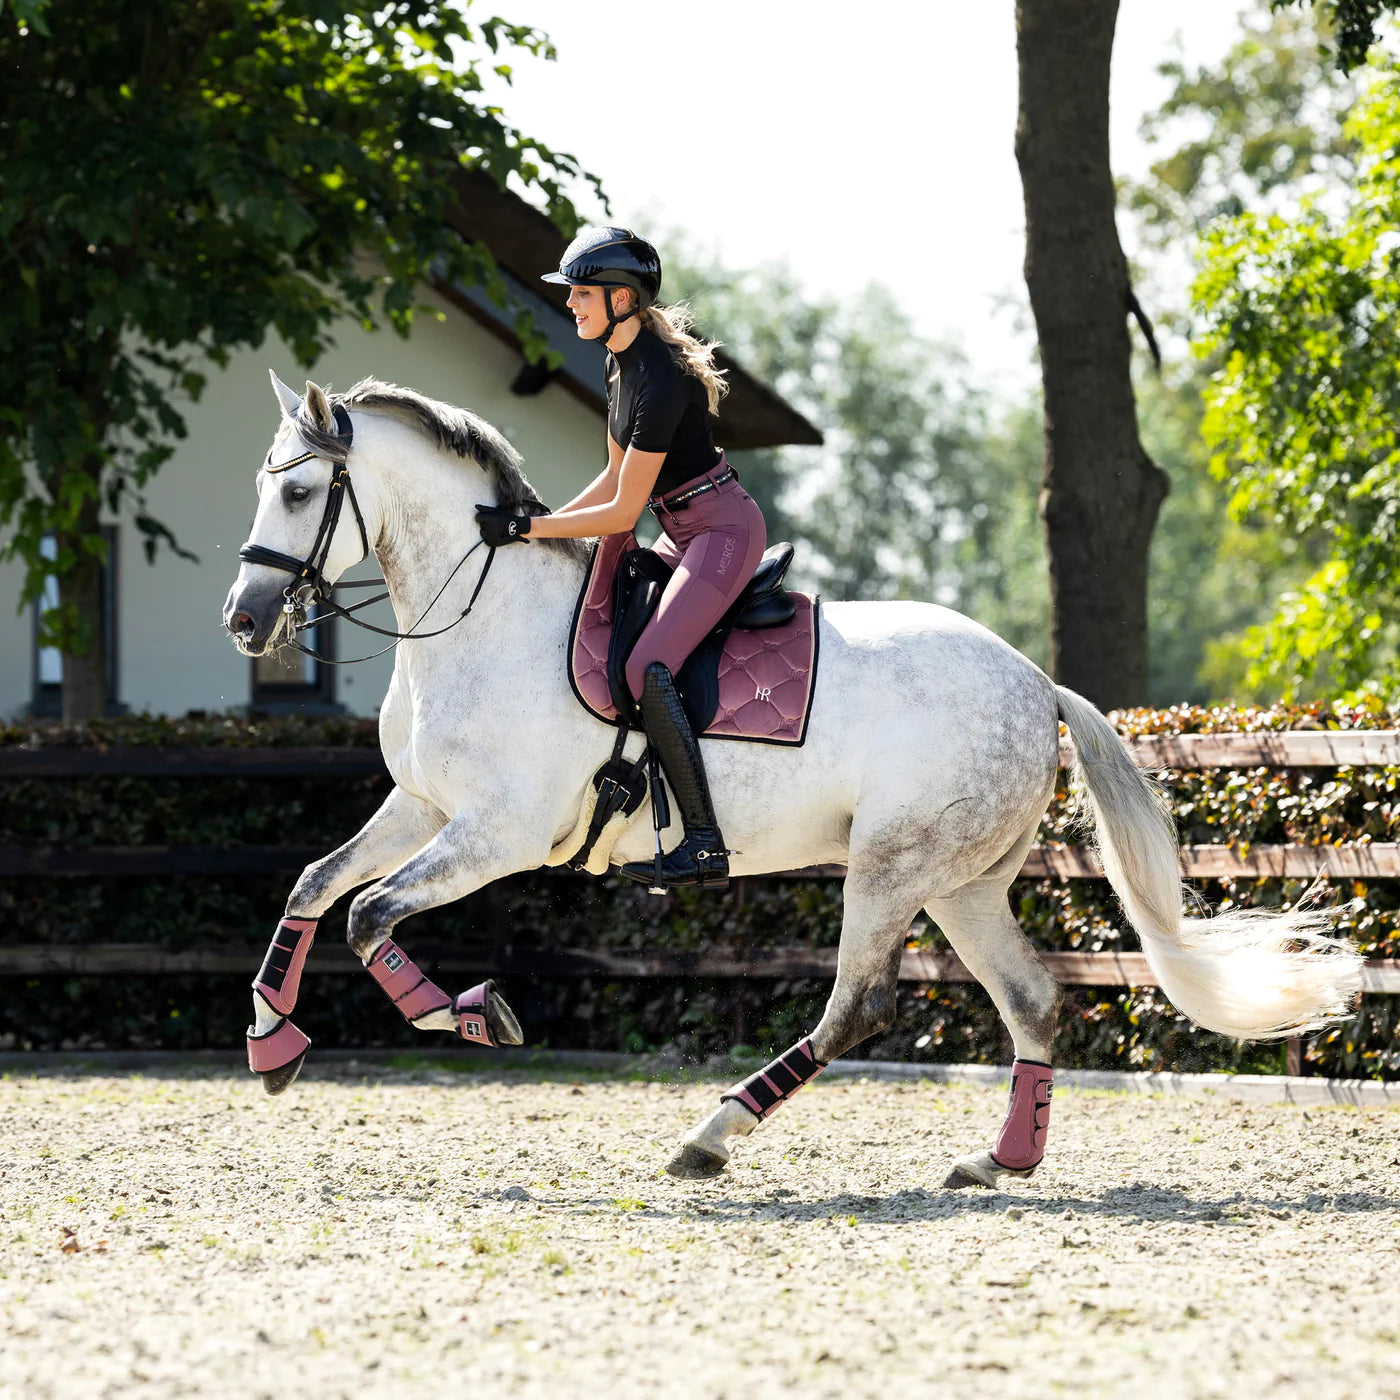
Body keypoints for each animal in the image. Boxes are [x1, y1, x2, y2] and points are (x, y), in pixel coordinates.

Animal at [224, 378, 1360, 1187]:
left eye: (298, 491)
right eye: (261, 483)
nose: (244, 619)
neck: (479, 613)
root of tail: (1035, 682)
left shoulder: (499, 832)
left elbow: (370, 916)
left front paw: (472, 1016)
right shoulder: (422, 806)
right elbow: (315, 887)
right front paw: (271, 1043)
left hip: (891, 867)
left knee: (857, 1006)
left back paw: (709, 1135)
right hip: (961, 883)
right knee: (1032, 999)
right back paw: (999, 1158)